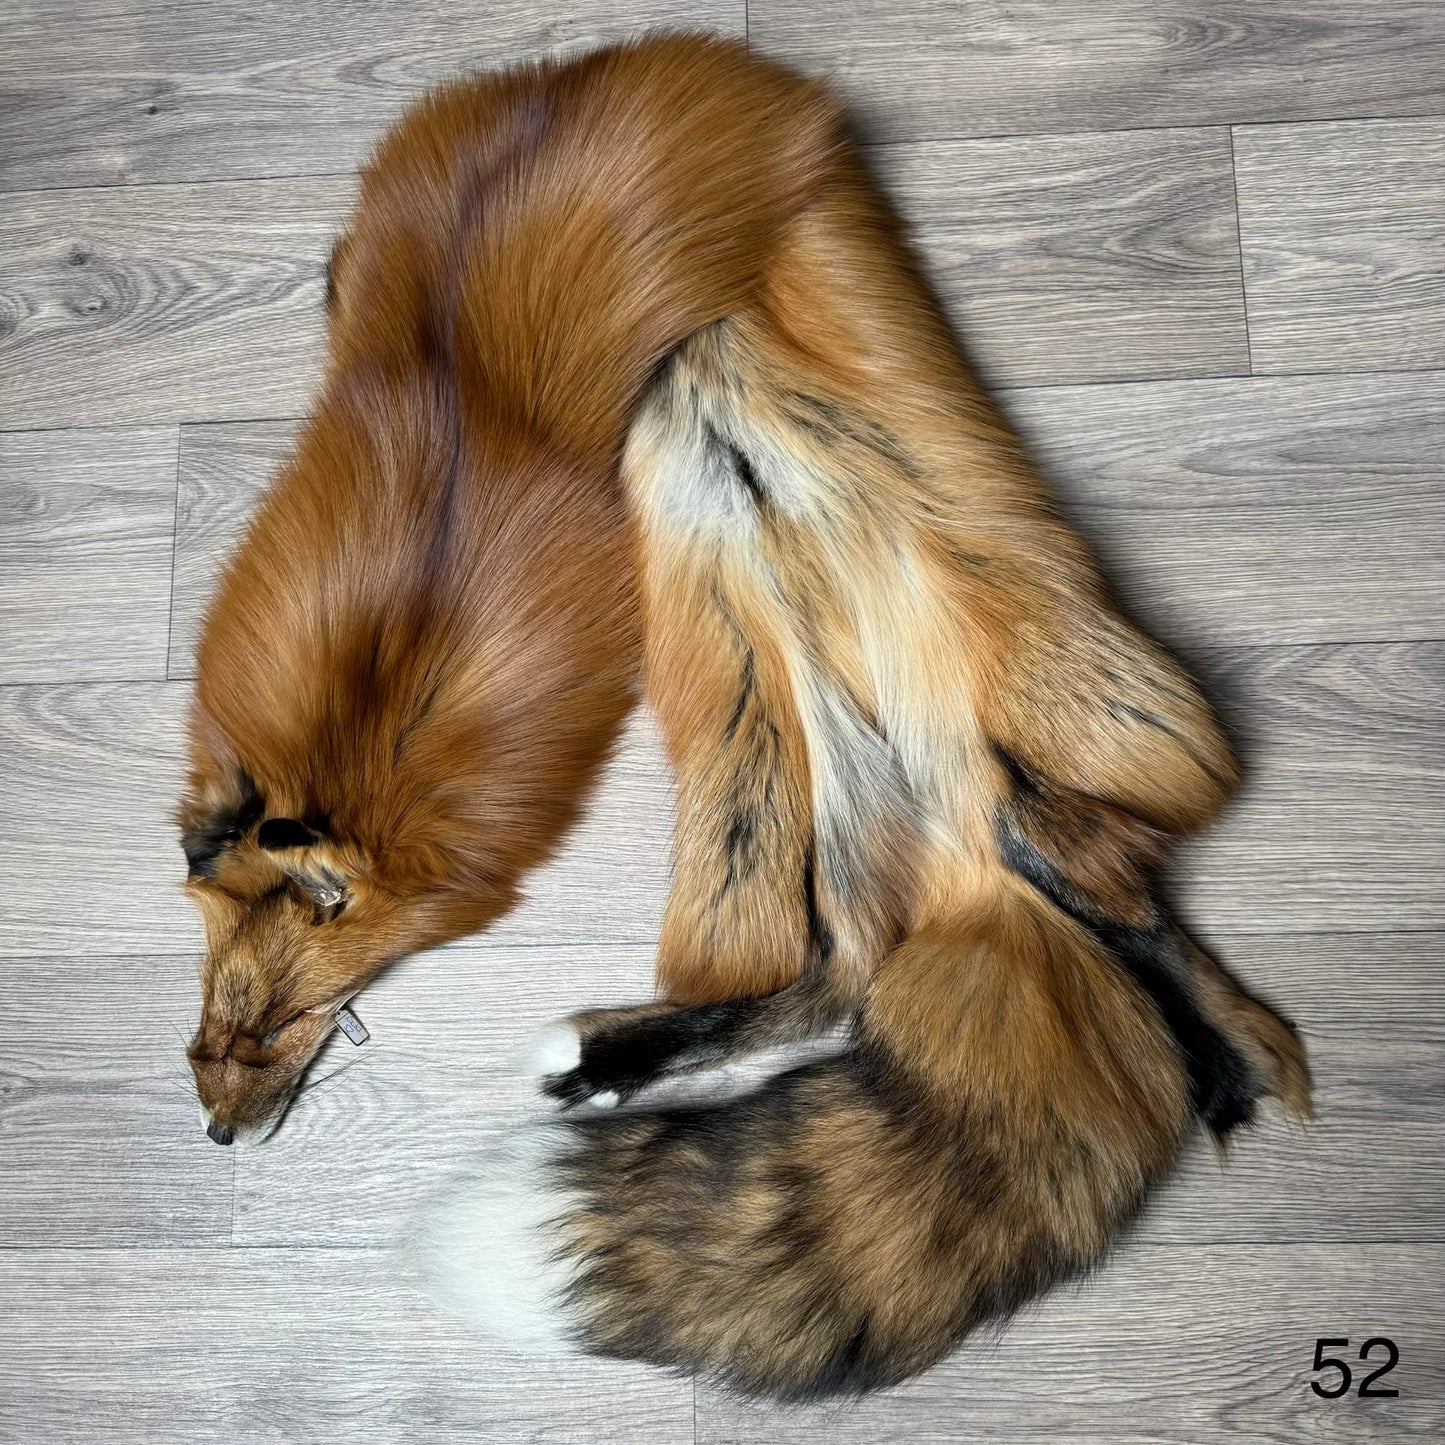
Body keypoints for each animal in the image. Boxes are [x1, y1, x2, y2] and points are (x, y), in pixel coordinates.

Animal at [417, 94, 1313, 1397]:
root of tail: (973, 871)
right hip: (803, 759)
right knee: (848, 975)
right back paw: (607, 1061)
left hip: (1097, 717)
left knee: (1112, 897)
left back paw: (1224, 1053)